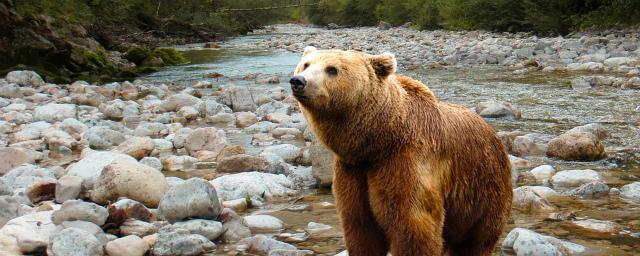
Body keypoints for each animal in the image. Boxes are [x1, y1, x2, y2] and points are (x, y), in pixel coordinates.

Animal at [292, 46, 512, 256]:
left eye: (332, 69)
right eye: (306, 64)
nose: (298, 81)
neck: (377, 142)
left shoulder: (404, 161)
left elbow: (413, 225)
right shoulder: (353, 171)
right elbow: (360, 228)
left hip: (482, 190)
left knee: (475, 241)